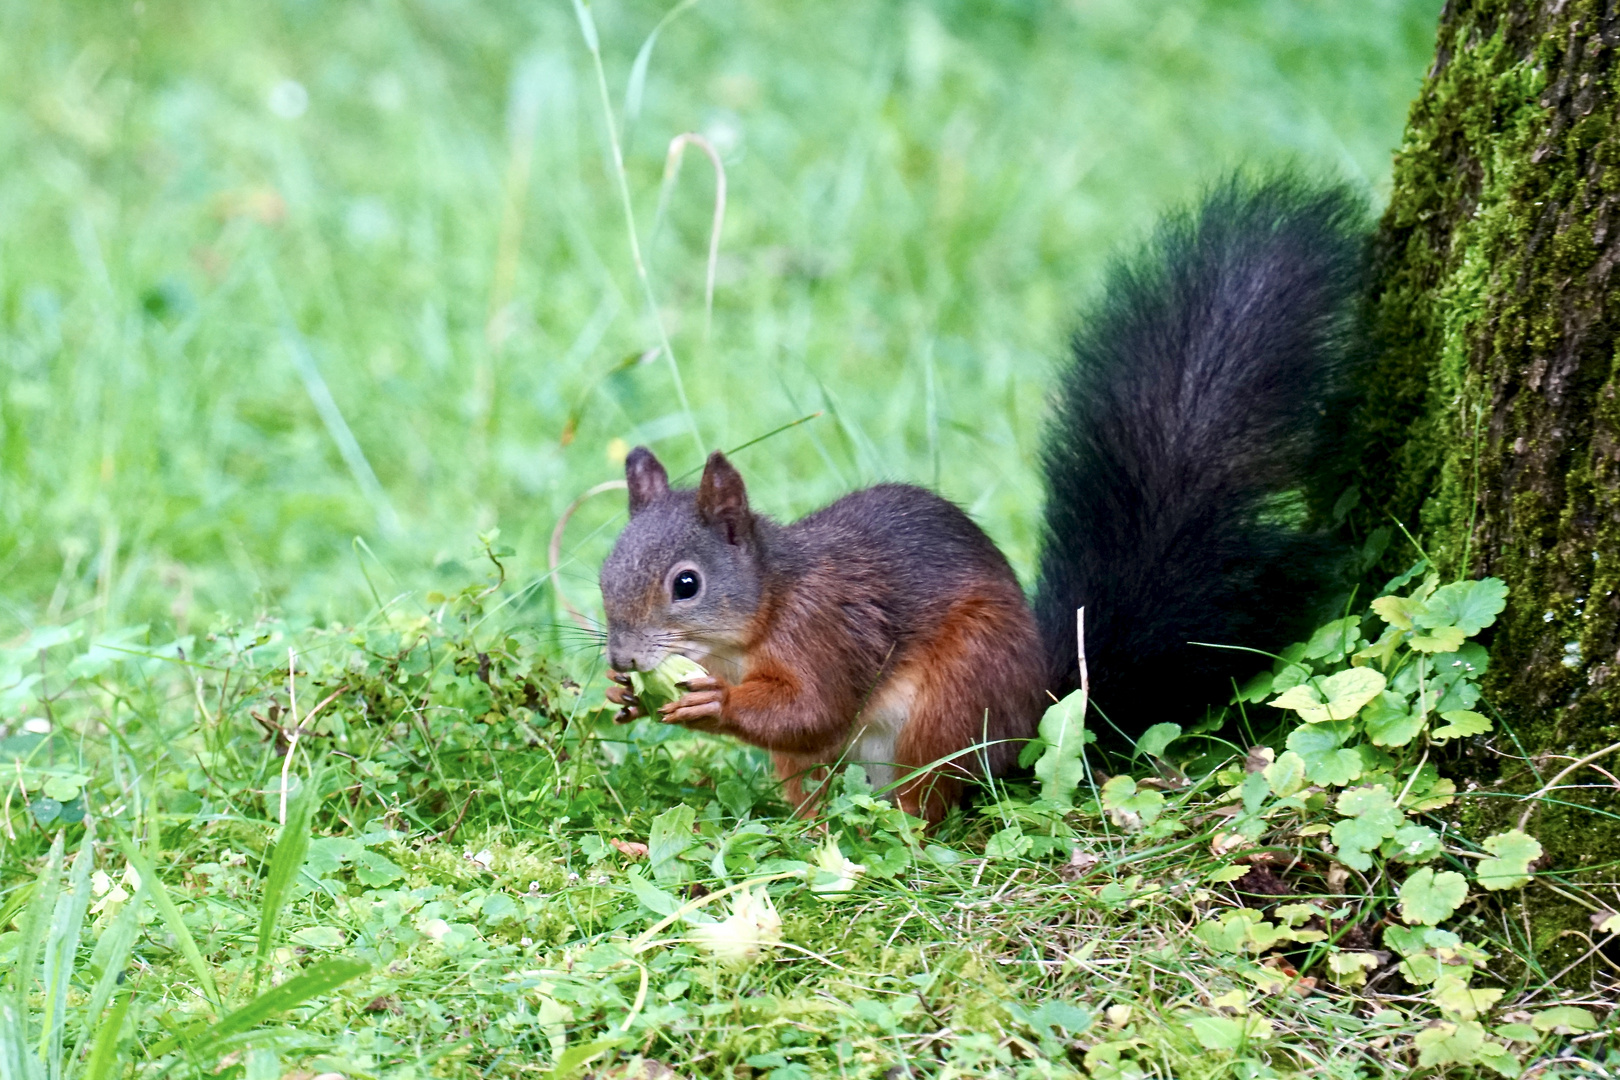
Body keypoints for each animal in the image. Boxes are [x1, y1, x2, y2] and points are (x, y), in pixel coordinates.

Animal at [596, 177, 1367, 822]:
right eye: (604, 574)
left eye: (686, 584)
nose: (623, 659)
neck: (762, 613)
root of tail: (1040, 714)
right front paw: (621, 700)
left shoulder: (831, 632)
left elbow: (812, 708)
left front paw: (713, 704)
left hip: (959, 693)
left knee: (929, 790)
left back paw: (904, 828)